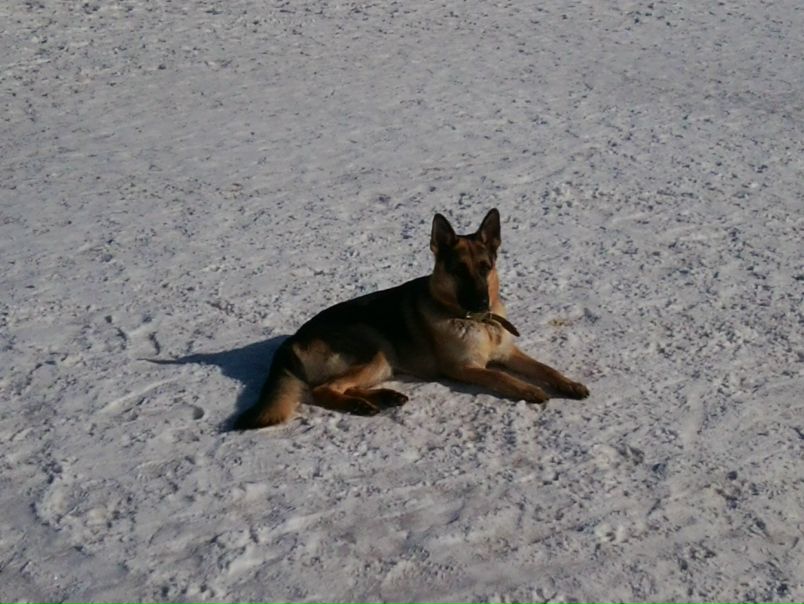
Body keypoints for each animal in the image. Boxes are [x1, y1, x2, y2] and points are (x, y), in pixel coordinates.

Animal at [234, 209, 589, 430]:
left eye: (485, 267)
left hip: (382, 361)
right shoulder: (466, 368)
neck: (473, 320)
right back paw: (360, 405)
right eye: (458, 271)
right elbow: (502, 377)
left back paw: (386, 396)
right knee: (324, 389)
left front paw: (569, 384)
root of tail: (290, 341)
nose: (480, 302)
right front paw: (529, 390)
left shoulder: (508, 352)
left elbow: (545, 368)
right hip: (375, 349)